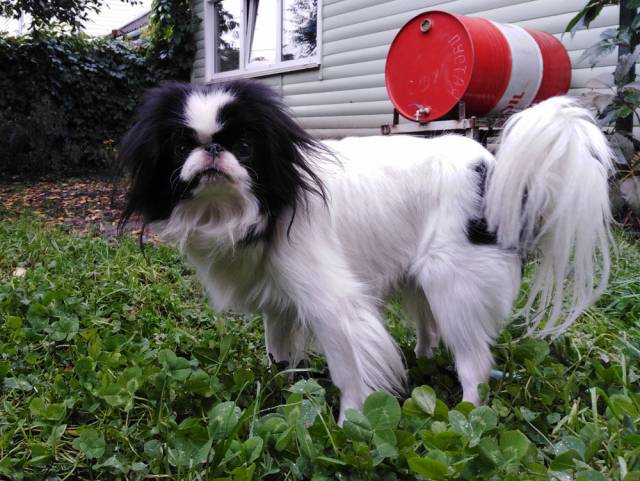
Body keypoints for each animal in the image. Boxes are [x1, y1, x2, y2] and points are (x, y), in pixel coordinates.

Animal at [118, 80, 613, 423]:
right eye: (181, 146)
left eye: (244, 146)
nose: (213, 149)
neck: (239, 213)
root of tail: (490, 167)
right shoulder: (278, 302)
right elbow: (279, 349)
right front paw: (280, 387)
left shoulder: (333, 307)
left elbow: (348, 371)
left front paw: (348, 423)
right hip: (420, 281)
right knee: (429, 328)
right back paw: (423, 359)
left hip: (453, 284)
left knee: (474, 363)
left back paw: (469, 413)